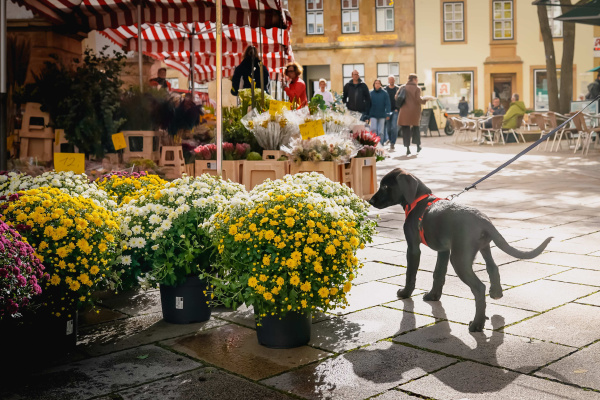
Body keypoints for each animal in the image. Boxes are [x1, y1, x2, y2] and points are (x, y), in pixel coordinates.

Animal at [370, 168, 552, 332]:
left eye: (385, 187)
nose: (370, 201)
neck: (418, 202)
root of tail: (483, 219)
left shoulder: (413, 248)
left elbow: (410, 274)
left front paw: (405, 293)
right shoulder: (443, 250)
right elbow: (438, 274)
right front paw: (433, 296)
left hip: (459, 260)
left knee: (479, 288)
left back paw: (477, 324)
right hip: (484, 247)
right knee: (493, 267)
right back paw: (496, 293)